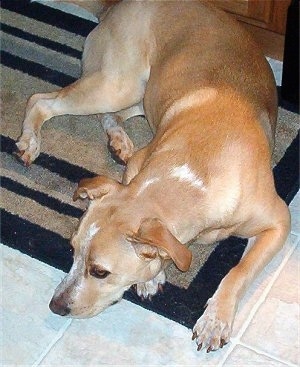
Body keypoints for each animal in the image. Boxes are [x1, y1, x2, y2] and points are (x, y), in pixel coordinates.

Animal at [15, 0, 290, 354]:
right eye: (72, 250)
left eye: (100, 272)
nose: (55, 306)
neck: (199, 168)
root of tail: (116, 6)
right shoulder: (140, 166)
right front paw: (153, 276)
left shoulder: (278, 221)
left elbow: (239, 271)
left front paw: (215, 320)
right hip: (118, 85)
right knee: (41, 100)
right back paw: (30, 142)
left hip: (135, 94)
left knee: (100, 113)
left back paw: (117, 140)